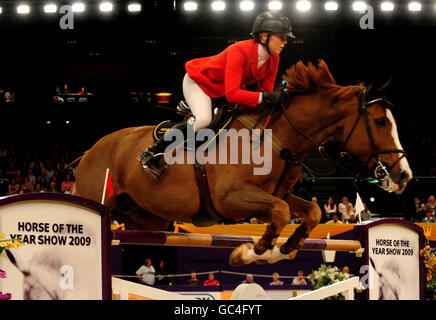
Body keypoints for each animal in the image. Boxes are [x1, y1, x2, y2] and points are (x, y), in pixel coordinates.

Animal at [72, 60, 412, 264]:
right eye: (381, 122)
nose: (404, 175)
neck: (279, 136)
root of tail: (90, 150)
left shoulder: (275, 194)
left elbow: (309, 211)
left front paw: (285, 248)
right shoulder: (230, 199)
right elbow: (281, 212)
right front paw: (255, 251)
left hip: (147, 218)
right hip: (97, 194)